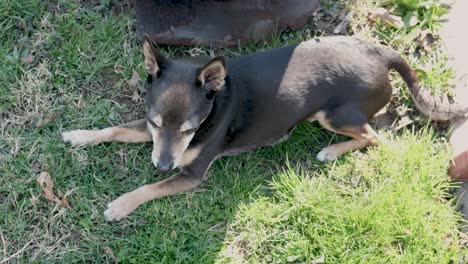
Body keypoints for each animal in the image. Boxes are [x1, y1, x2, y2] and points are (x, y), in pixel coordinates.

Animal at [62, 35, 468, 221]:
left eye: (191, 129)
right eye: (155, 121)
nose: (162, 165)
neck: (216, 99)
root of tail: (381, 53)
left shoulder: (191, 173)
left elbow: (149, 188)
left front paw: (121, 204)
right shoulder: (151, 135)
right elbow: (115, 130)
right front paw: (80, 136)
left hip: (333, 116)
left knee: (373, 136)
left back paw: (331, 150)